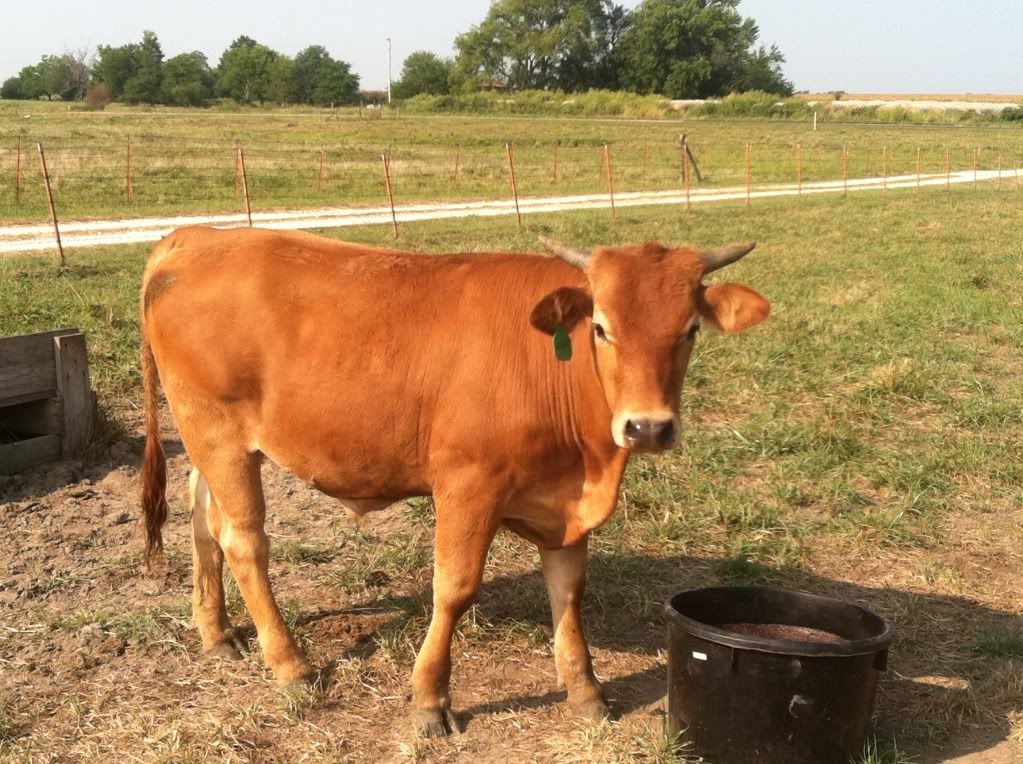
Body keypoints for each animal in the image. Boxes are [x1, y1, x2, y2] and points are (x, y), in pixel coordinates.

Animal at [140, 226, 769, 737]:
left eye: (690, 330)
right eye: (601, 328)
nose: (647, 427)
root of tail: (194, 237)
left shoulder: (564, 504)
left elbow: (568, 591)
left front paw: (585, 690)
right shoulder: (469, 486)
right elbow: (455, 588)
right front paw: (429, 700)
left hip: (207, 441)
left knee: (202, 518)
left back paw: (217, 632)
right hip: (218, 432)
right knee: (244, 540)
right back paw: (291, 664)